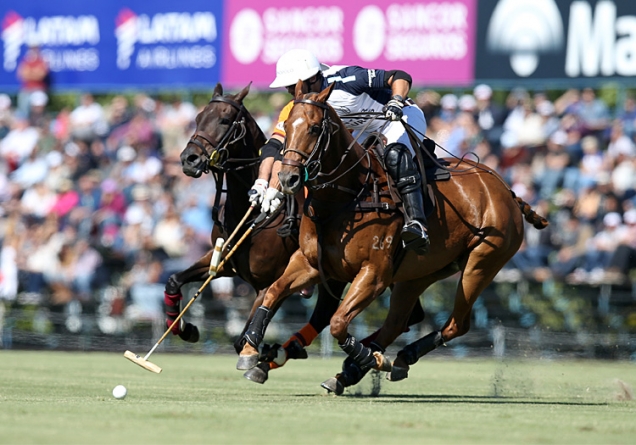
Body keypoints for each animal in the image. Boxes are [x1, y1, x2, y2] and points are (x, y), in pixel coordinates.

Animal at [171, 84, 424, 386]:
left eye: (224, 120)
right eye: (198, 118)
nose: (189, 159)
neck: (253, 216)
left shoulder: (268, 281)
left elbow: (243, 337)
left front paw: (261, 352)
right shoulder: (226, 263)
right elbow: (174, 281)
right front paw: (185, 327)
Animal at [236, 83, 548, 392]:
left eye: (314, 128)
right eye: (287, 125)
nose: (287, 179)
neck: (347, 196)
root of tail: (504, 188)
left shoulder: (374, 273)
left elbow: (337, 322)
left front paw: (368, 358)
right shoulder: (312, 263)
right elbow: (274, 291)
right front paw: (251, 351)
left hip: (481, 262)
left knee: (457, 324)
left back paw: (387, 359)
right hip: (419, 273)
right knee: (397, 322)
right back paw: (362, 367)